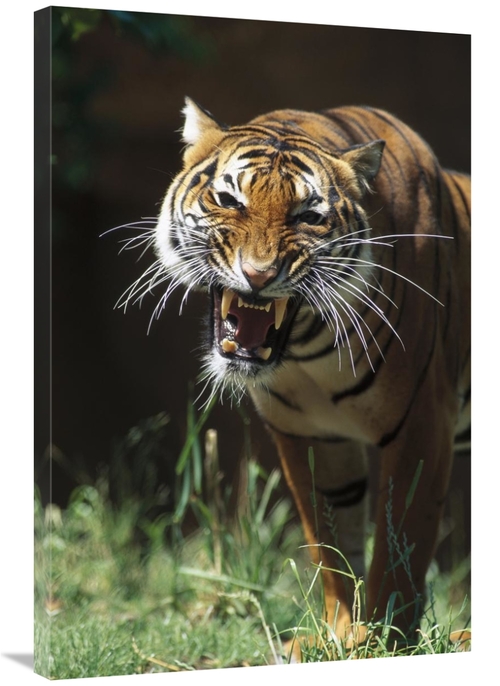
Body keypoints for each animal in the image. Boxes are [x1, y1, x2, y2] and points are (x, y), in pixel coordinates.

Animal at [138, 98, 471, 650]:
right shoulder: (310, 434)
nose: (258, 275)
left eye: (308, 216)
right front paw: (338, 636)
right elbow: (330, 542)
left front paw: (385, 643)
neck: (307, 351)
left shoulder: (424, 421)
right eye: (229, 200)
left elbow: (401, 541)